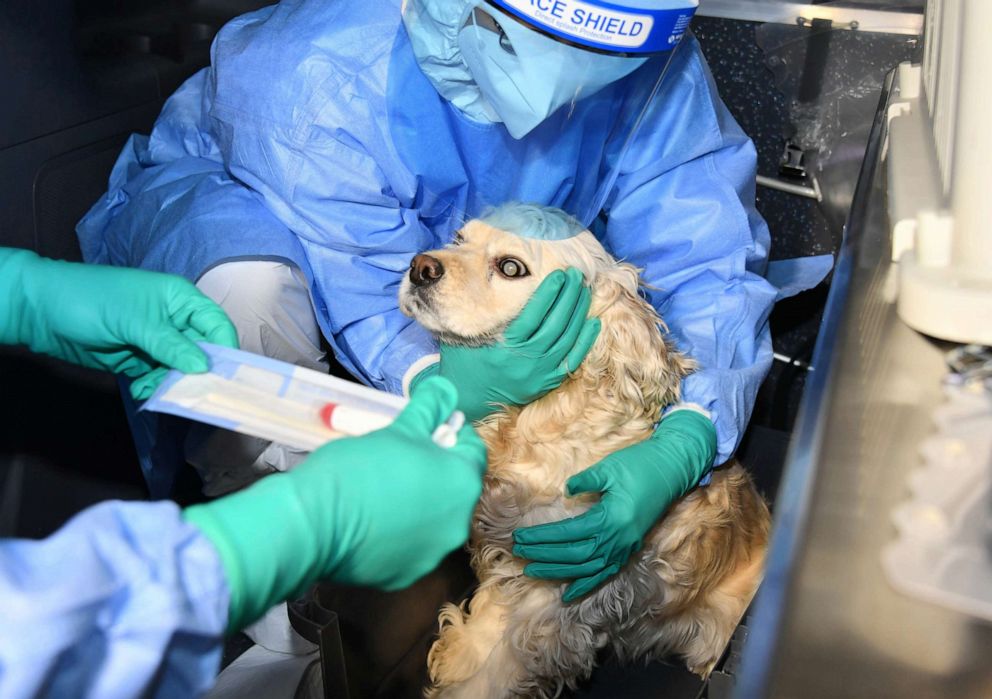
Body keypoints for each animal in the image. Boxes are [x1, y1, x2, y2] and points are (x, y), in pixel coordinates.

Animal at [400, 205, 772, 696]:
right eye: (459, 239)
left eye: (511, 267)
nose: (420, 267)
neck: (541, 419)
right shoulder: (515, 549)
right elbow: (490, 618)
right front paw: (462, 654)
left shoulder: (561, 589)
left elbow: (501, 669)